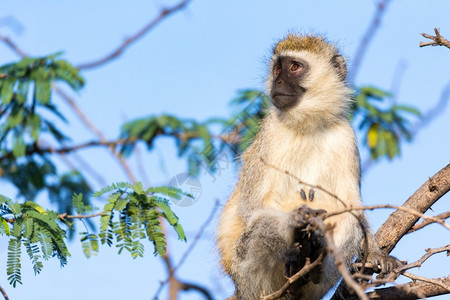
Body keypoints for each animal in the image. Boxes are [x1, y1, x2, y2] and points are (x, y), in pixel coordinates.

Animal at [217, 34, 398, 298]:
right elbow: (251, 208)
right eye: (277, 69)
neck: (308, 124)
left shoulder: (346, 136)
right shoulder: (270, 135)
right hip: (249, 276)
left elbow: (352, 206)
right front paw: (295, 221)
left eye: (294, 67)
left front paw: (375, 252)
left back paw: (315, 264)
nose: (278, 81)